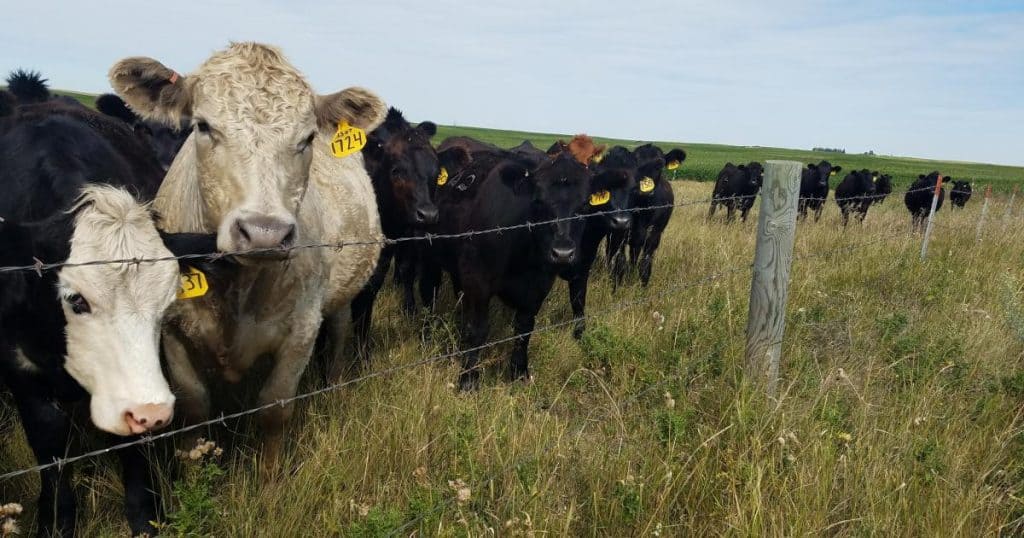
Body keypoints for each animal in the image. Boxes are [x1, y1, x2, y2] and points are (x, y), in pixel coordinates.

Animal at [109, 42, 387, 470]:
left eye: (307, 137)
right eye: (203, 126)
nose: (264, 232)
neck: (236, 290)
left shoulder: (302, 330)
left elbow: (274, 408)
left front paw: (270, 480)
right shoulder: (173, 330)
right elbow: (194, 405)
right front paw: (194, 468)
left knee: (340, 335)